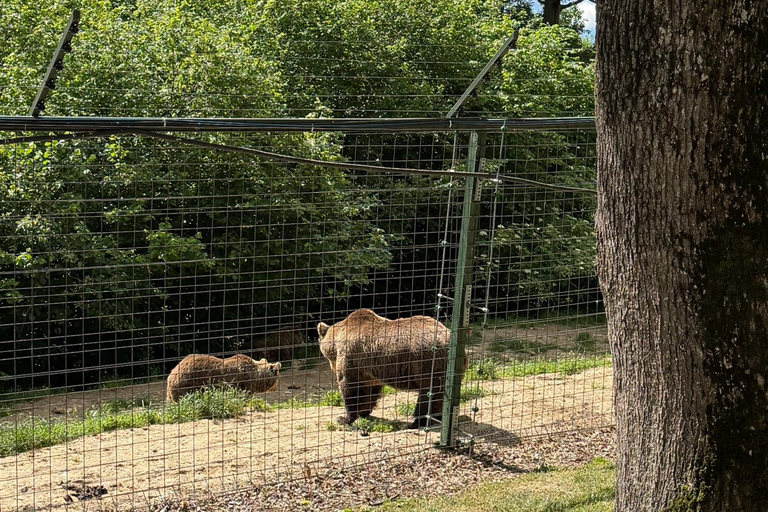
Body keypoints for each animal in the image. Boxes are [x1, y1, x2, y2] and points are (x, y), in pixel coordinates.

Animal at [316, 309, 467, 429]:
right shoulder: (371, 370)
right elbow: (370, 391)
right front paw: (364, 412)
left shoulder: (351, 358)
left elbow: (350, 388)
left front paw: (344, 418)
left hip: (425, 362)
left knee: (428, 393)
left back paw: (417, 422)